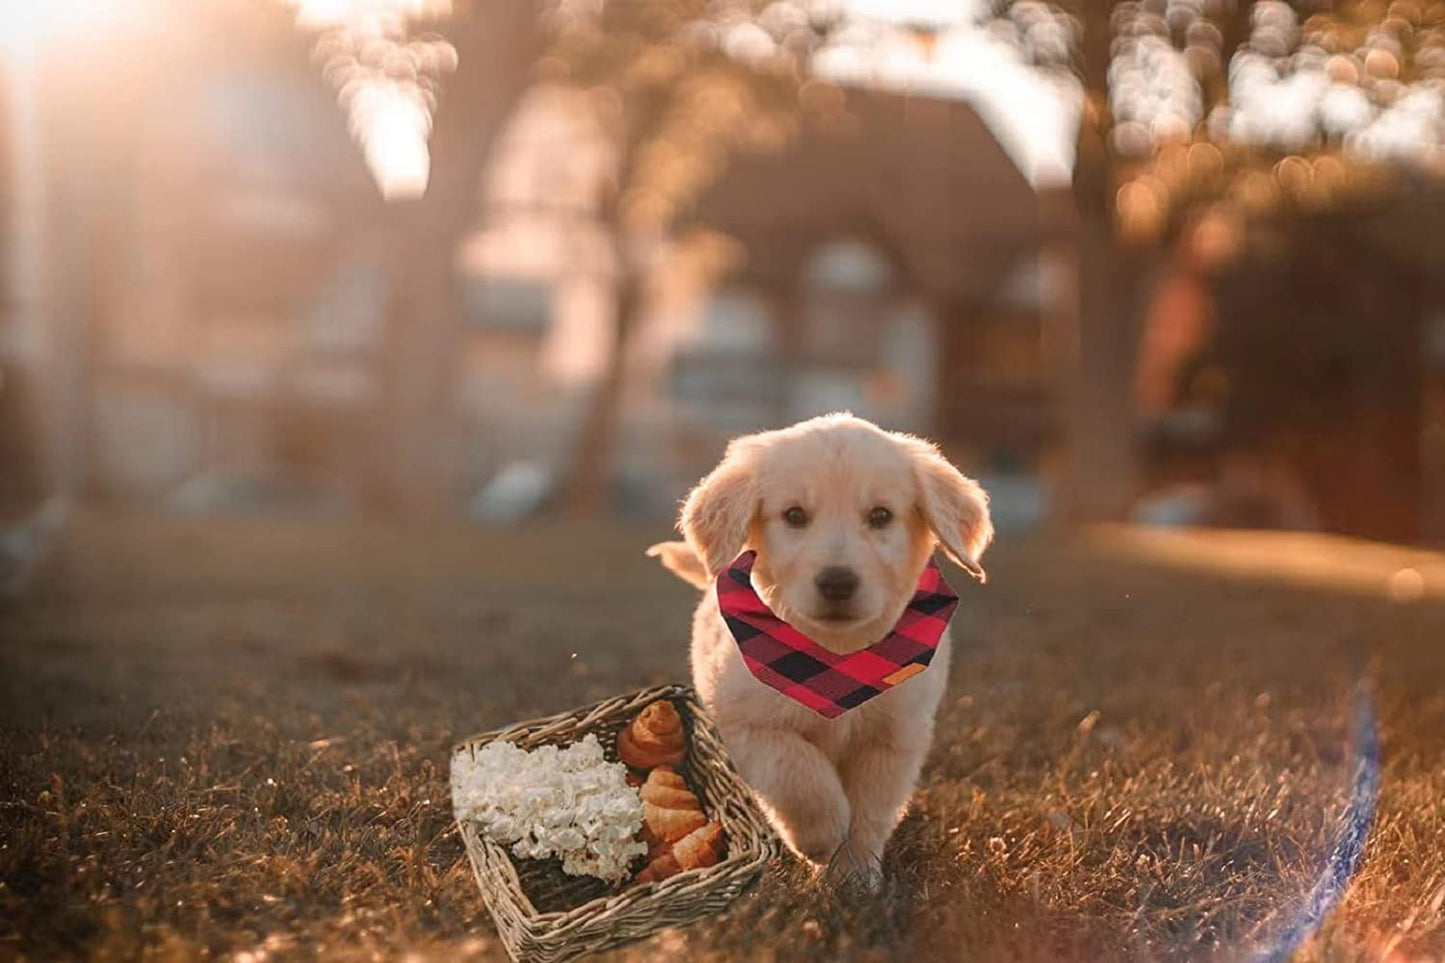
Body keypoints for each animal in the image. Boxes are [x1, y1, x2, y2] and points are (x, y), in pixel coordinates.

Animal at [650, 410, 988, 884]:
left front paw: (855, 876)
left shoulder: (894, 737)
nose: (837, 583)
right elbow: (797, 772)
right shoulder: (746, 723)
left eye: (880, 515)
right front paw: (821, 836)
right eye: (794, 515)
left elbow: (869, 811)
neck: (834, 657)